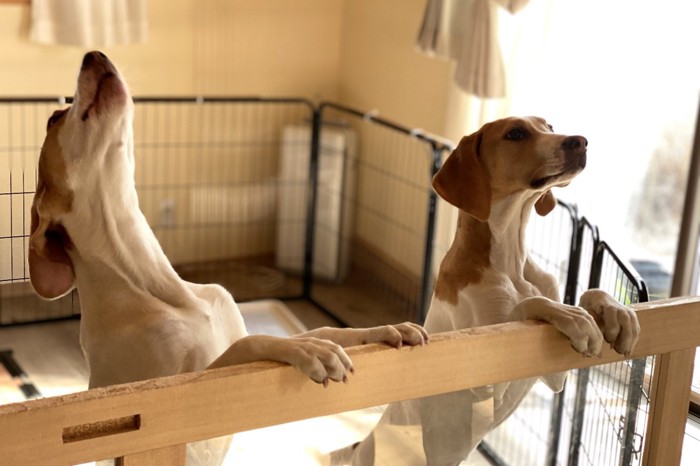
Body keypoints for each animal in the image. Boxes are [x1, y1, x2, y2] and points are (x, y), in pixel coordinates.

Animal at [28, 49, 426, 464]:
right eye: (53, 118)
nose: (94, 54)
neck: (149, 282)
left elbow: (327, 330)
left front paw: (383, 329)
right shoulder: (171, 401)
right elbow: (248, 346)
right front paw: (302, 348)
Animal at [336, 117, 644, 466]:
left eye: (549, 126)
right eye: (516, 133)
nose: (580, 141)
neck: (511, 260)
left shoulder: (554, 377)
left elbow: (585, 293)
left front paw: (615, 310)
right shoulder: (485, 376)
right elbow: (529, 305)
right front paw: (569, 314)